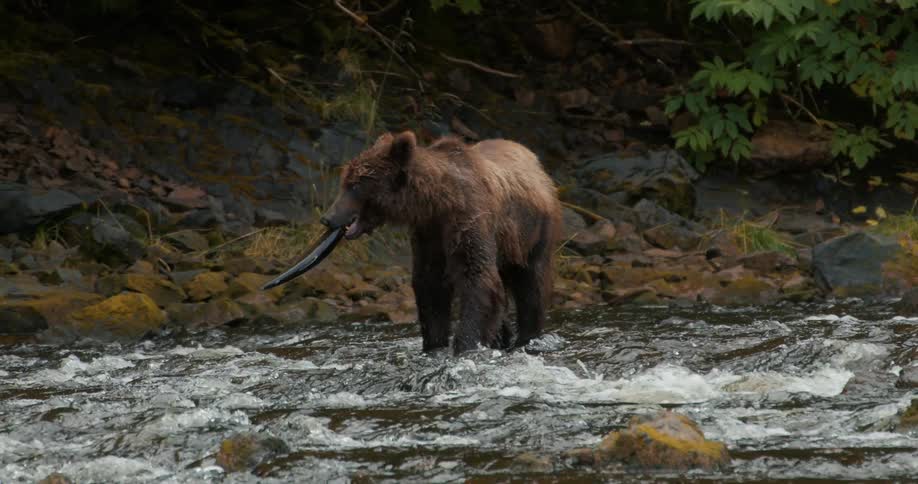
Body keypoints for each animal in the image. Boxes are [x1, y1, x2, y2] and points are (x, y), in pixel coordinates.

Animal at [320, 131, 562, 355]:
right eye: (345, 181)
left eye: (356, 185)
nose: (328, 218)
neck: (436, 201)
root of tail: (534, 160)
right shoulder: (428, 233)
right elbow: (430, 284)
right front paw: (434, 344)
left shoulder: (468, 220)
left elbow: (477, 277)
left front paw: (465, 344)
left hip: (532, 233)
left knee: (531, 284)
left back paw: (527, 337)